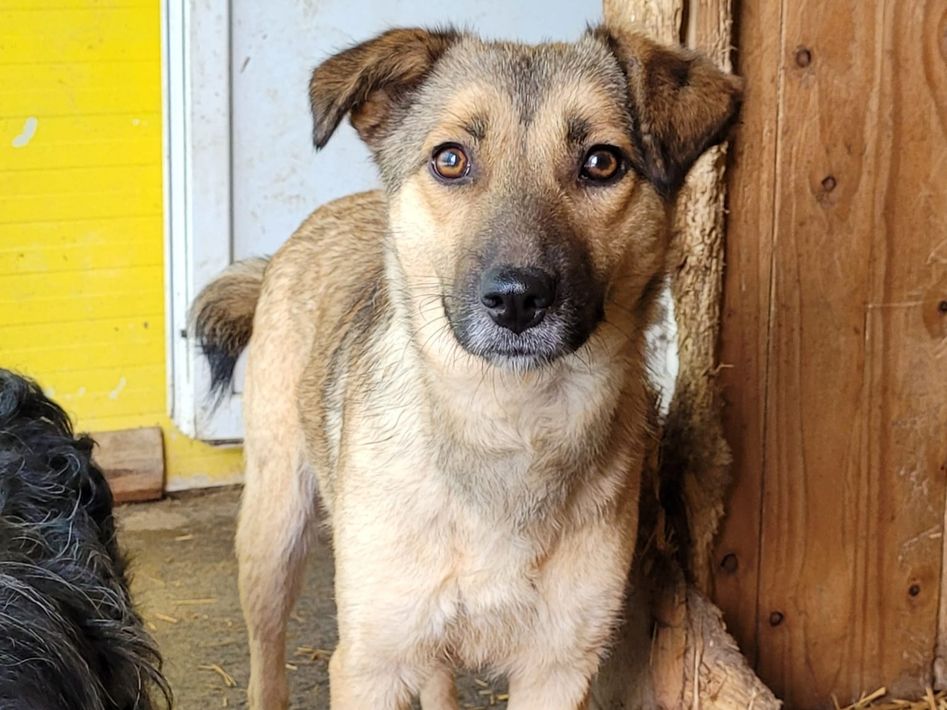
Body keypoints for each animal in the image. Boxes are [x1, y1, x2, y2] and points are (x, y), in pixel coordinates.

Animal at [193, 24, 741, 710]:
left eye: (601, 162)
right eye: (450, 160)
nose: (517, 300)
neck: (508, 421)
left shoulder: (558, 669)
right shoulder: (370, 664)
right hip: (275, 532)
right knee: (267, 657)